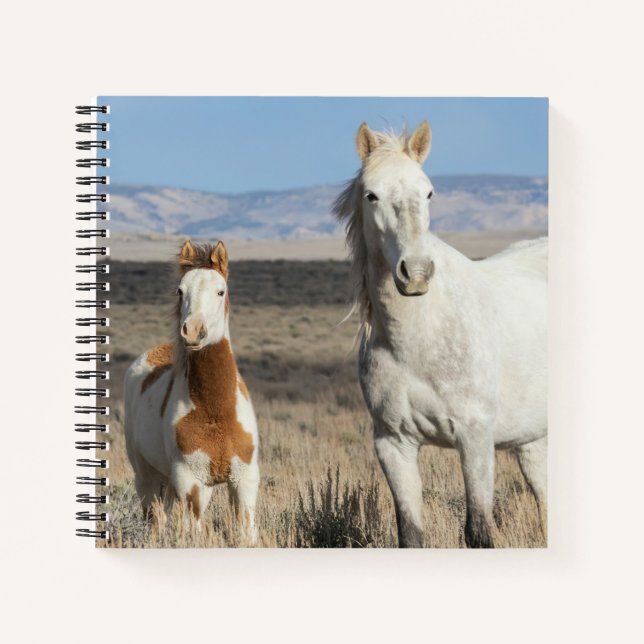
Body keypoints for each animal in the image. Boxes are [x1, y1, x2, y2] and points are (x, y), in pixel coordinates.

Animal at [124, 240, 260, 543]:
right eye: (180, 290)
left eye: (221, 291)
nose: (193, 331)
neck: (215, 412)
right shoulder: (191, 483)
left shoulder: (244, 481)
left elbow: (246, 533)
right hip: (148, 479)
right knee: (156, 520)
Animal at [334, 122, 547, 548]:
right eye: (371, 194)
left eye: (429, 191)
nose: (415, 273)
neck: (418, 339)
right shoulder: (393, 444)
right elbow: (411, 534)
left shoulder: (475, 438)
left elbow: (478, 531)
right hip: (535, 443)